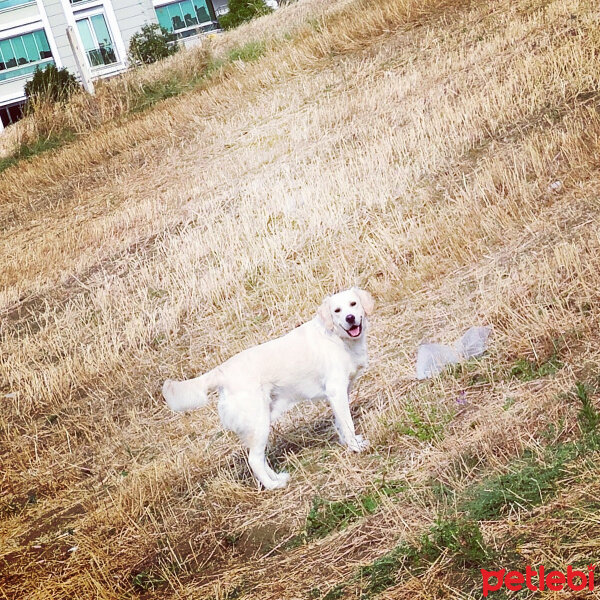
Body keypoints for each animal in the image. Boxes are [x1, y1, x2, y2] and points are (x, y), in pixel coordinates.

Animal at [162, 288, 372, 490]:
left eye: (353, 304)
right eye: (337, 311)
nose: (350, 318)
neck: (337, 338)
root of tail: (222, 371)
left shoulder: (338, 394)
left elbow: (341, 424)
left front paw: (350, 443)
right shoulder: (336, 391)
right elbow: (348, 424)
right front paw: (356, 448)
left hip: (262, 422)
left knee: (260, 458)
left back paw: (278, 477)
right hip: (259, 423)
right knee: (254, 460)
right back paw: (273, 485)